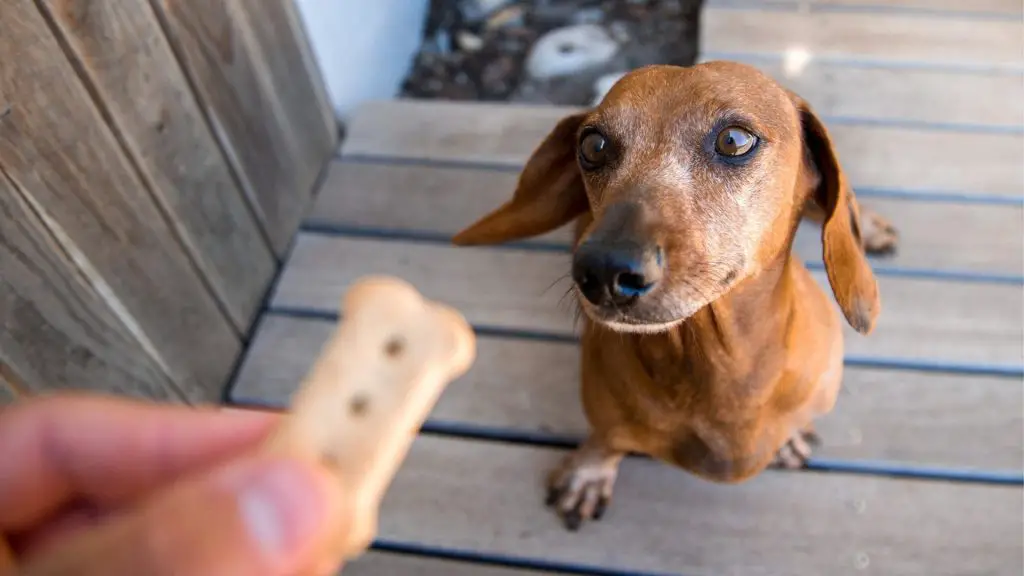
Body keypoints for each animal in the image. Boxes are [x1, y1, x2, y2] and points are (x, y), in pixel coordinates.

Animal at [454, 60, 897, 528]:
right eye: (593, 145)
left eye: (734, 140)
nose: (603, 270)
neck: (721, 365)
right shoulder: (607, 420)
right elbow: (607, 440)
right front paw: (589, 472)